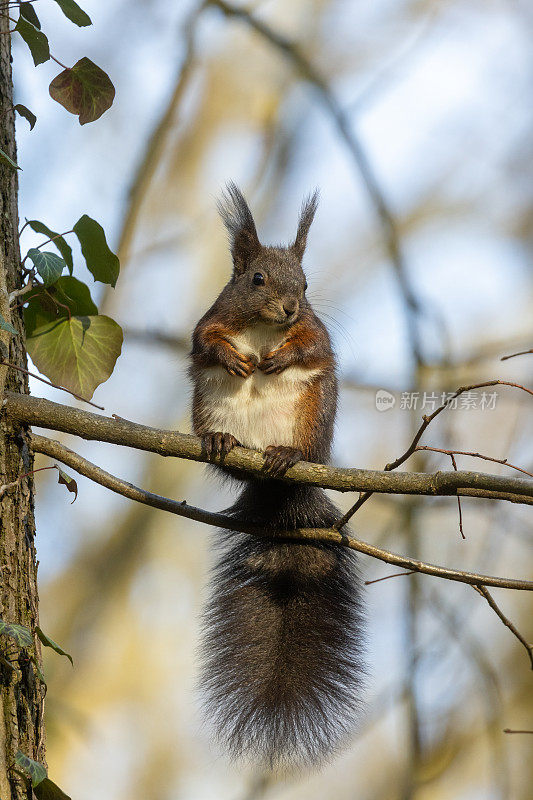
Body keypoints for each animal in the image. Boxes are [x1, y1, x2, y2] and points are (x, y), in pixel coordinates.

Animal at [189, 183, 364, 768]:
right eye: (256, 279)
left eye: (306, 286)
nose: (289, 307)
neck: (265, 328)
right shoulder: (211, 320)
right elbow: (204, 341)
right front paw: (235, 358)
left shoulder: (315, 332)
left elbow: (311, 347)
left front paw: (277, 359)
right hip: (210, 409)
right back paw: (222, 445)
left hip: (313, 420)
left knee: (301, 444)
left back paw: (286, 453)